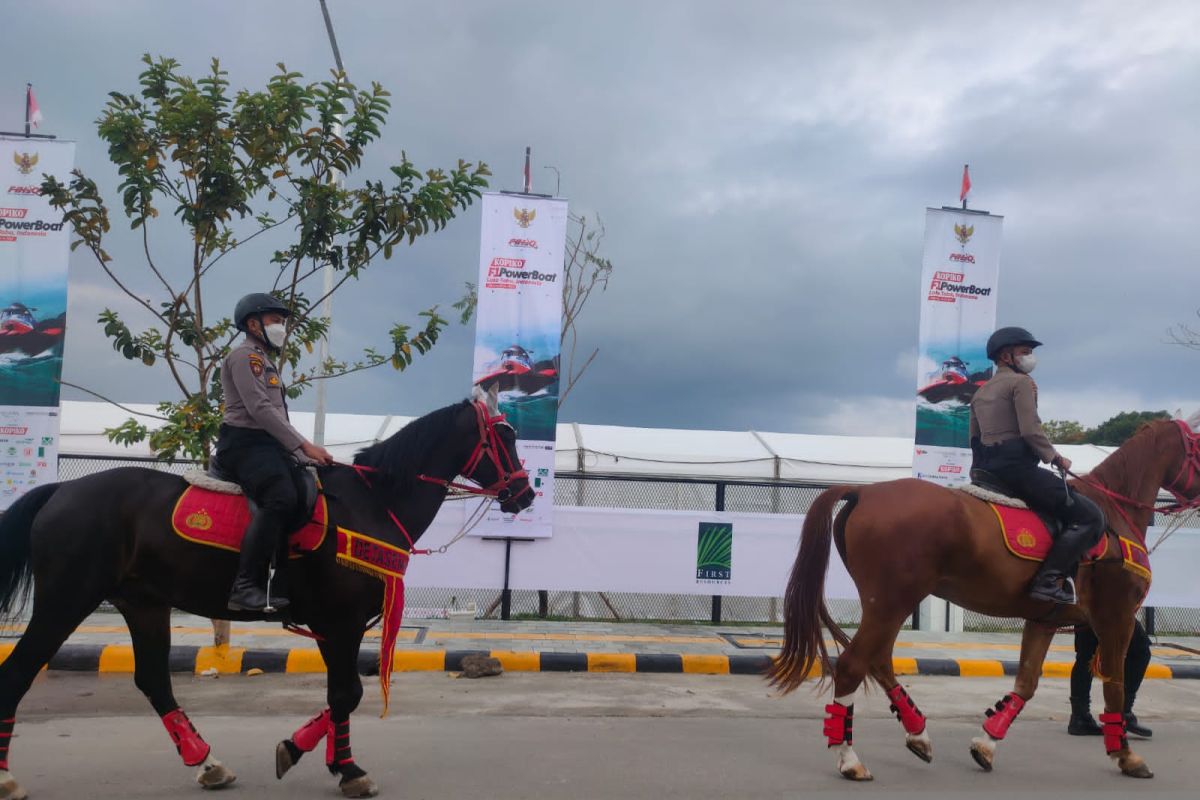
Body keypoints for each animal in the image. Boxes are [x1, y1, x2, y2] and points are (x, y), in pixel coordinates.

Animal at [0, 391, 530, 796]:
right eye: (505, 437)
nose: (524, 493)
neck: (372, 502)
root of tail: (59, 491)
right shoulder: (338, 622)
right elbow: (348, 693)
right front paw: (346, 769)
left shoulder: (335, 626)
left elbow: (343, 695)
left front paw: (309, 752)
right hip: (66, 600)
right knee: (18, 673)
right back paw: (7, 778)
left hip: (144, 605)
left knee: (153, 680)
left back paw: (207, 762)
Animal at [768, 417, 1200, 777]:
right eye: (1197, 447)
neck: (1112, 512)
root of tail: (864, 491)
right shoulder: (1117, 619)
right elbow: (1115, 686)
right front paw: (1126, 755)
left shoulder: (1045, 620)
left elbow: (1026, 683)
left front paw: (987, 743)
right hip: (890, 603)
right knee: (853, 666)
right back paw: (850, 759)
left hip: (888, 604)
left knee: (878, 662)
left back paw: (917, 733)